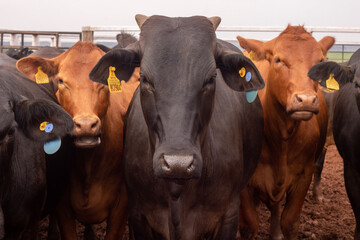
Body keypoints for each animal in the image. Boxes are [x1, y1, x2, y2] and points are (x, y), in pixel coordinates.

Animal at [236, 25, 334, 239]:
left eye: (320, 62)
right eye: (278, 60)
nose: (306, 100)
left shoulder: (304, 175)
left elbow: (290, 221)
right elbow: (249, 224)